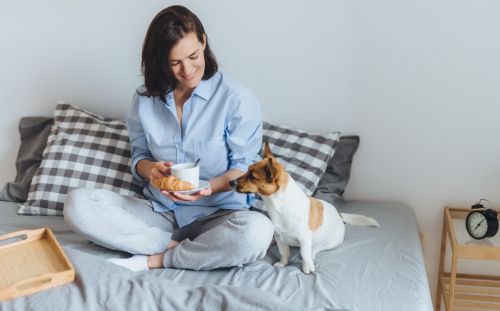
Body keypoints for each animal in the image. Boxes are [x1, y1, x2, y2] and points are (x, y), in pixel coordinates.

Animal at [230, 144, 378, 276]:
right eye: (247, 170)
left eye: (252, 177)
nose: (230, 183)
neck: (280, 205)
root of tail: (339, 214)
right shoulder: (279, 238)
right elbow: (283, 252)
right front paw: (283, 264)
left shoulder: (304, 239)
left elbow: (304, 254)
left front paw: (307, 268)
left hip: (331, 242)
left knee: (315, 250)